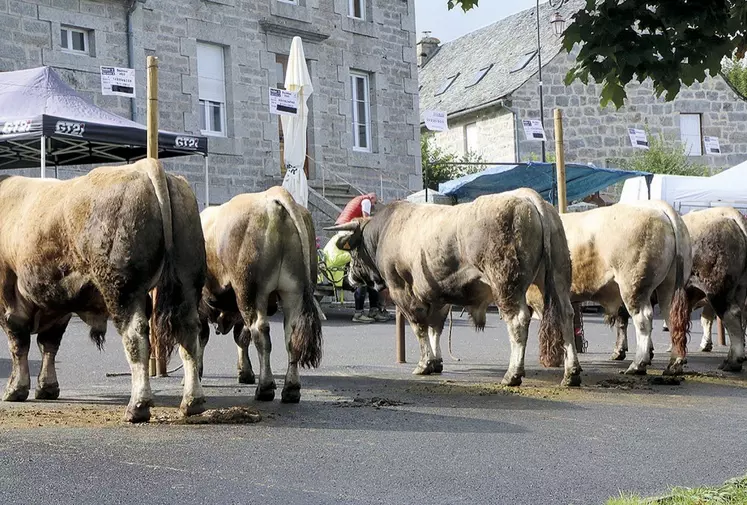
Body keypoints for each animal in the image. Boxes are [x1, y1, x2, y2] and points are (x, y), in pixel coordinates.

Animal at [0, 158, 207, 422]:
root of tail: (145, 166)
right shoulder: (58, 301)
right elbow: (49, 344)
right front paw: (47, 387)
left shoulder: (8, 299)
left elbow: (19, 344)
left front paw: (15, 389)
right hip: (187, 282)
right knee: (189, 334)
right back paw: (192, 402)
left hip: (122, 289)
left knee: (136, 337)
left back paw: (138, 405)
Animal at [196, 185, 322, 402]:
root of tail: (272, 196)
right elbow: (241, 337)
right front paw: (245, 372)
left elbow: (203, 336)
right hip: (292, 291)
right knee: (291, 335)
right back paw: (291, 388)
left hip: (251, 292)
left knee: (259, 330)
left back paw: (265, 387)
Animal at [328, 186, 584, 386]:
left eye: (352, 250)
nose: (350, 279)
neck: (387, 230)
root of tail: (528, 196)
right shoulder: (438, 295)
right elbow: (435, 328)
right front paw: (436, 362)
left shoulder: (402, 290)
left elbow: (419, 327)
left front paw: (424, 364)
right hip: (558, 277)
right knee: (565, 314)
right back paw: (571, 373)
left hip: (507, 283)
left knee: (518, 320)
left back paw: (513, 374)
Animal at [552, 200, 692, 374]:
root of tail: (657, 206)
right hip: (669, 285)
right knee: (672, 317)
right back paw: (674, 363)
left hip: (632, 285)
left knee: (643, 319)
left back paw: (638, 364)